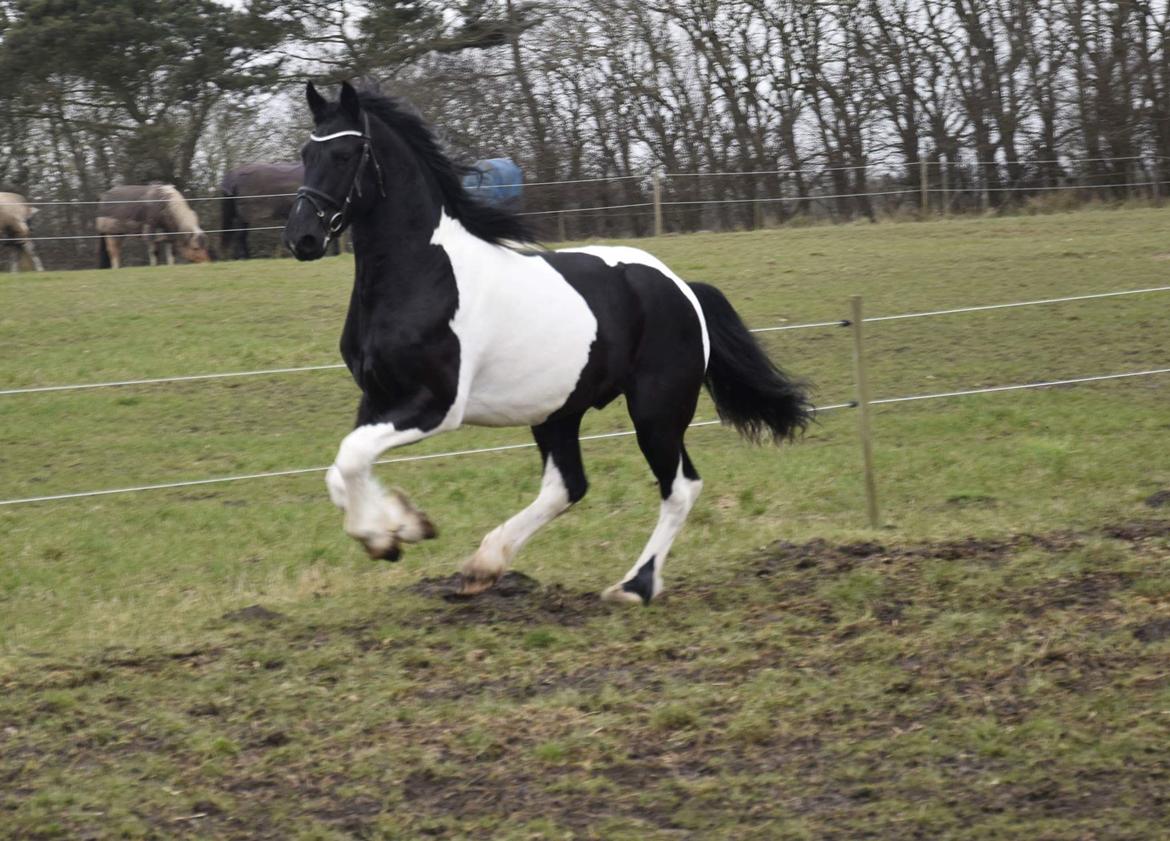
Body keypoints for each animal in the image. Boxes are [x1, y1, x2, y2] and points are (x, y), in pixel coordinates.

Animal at [283, 82, 812, 604]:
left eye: (346, 153)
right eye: (307, 153)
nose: (301, 237)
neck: (424, 275)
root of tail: (682, 287)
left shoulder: (437, 404)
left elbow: (351, 457)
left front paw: (383, 536)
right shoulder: (378, 396)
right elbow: (341, 469)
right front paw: (404, 525)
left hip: (656, 411)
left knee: (679, 487)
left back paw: (633, 587)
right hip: (559, 410)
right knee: (567, 486)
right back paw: (482, 567)